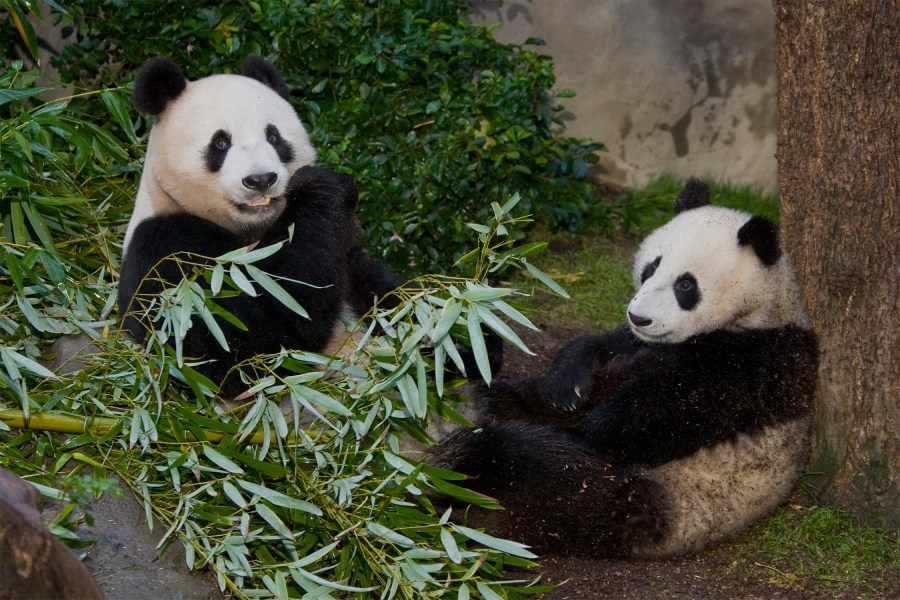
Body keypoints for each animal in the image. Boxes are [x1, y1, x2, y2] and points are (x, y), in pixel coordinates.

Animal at [118, 58, 404, 398]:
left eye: (274, 137)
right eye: (220, 142)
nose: (260, 180)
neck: (253, 229)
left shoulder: (345, 256)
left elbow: (388, 295)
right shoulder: (165, 251)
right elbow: (239, 345)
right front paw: (322, 187)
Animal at [432, 178, 820, 556]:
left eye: (686, 285)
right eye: (652, 267)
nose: (639, 317)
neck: (760, 309)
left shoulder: (760, 359)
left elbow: (659, 413)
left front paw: (581, 434)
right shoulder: (639, 342)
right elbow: (601, 349)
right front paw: (566, 386)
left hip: (625, 500)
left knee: (527, 467)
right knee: (509, 399)